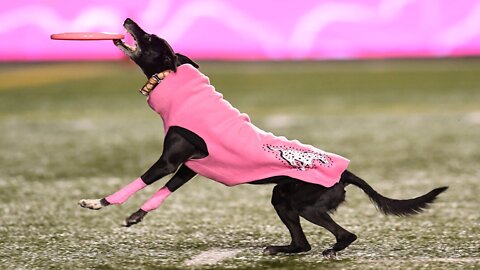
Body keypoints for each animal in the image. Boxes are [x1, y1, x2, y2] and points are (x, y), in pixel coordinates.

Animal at [77, 17, 448, 258]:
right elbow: (161, 193)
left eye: (150, 38)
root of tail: (346, 172)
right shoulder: (191, 167)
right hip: (283, 199)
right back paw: (283, 250)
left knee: (345, 234)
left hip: (303, 202)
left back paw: (331, 250)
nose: (128, 19)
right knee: (302, 244)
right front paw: (137, 216)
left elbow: (136, 183)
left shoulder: (170, 161)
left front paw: (98, 202)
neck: (172, 82)